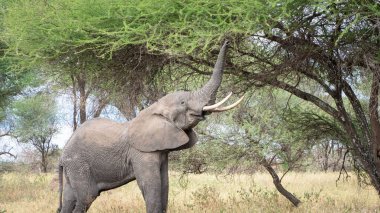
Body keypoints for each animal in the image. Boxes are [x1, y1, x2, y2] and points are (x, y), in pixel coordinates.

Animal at [56, 40, 243, 212]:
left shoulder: (161, 151)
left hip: (72, 168)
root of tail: (62, 155)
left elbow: (164, 186)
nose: (227, 40)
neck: (154, 108)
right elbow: (151, 187)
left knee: (69, 199)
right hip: (78, 164)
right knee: (86, 197)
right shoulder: (141, 152)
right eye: (183, 102)